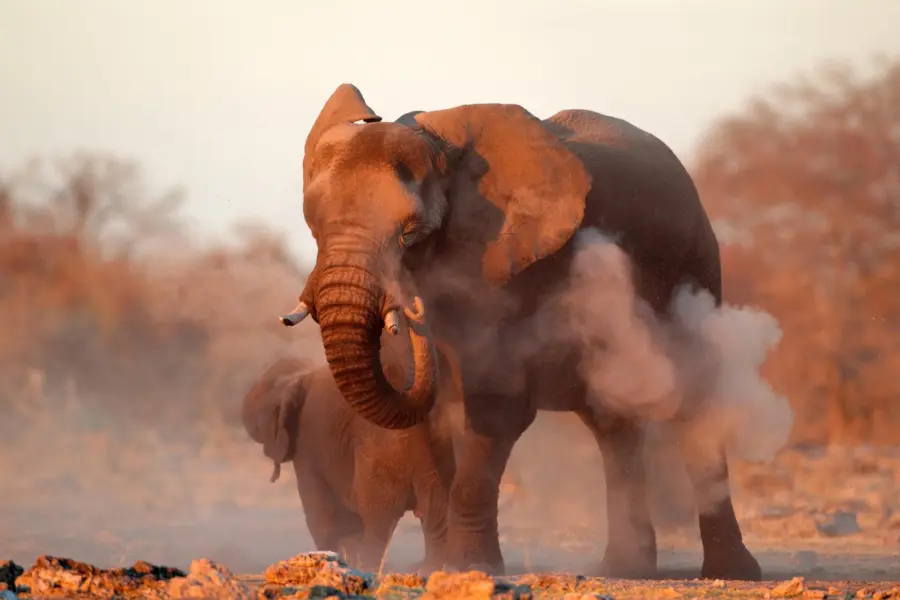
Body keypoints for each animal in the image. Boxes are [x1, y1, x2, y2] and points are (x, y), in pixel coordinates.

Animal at [277, 83, 763, 581]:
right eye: (313, 226)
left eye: (410, 233)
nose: (413, 309)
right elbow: (425, 420)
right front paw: (437, 566)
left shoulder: (510, 267)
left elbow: (497, 408)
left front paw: (471, 567)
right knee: (612, 423)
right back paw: (624, 568)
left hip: (696, 266)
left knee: (696, 406)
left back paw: (731, 573)